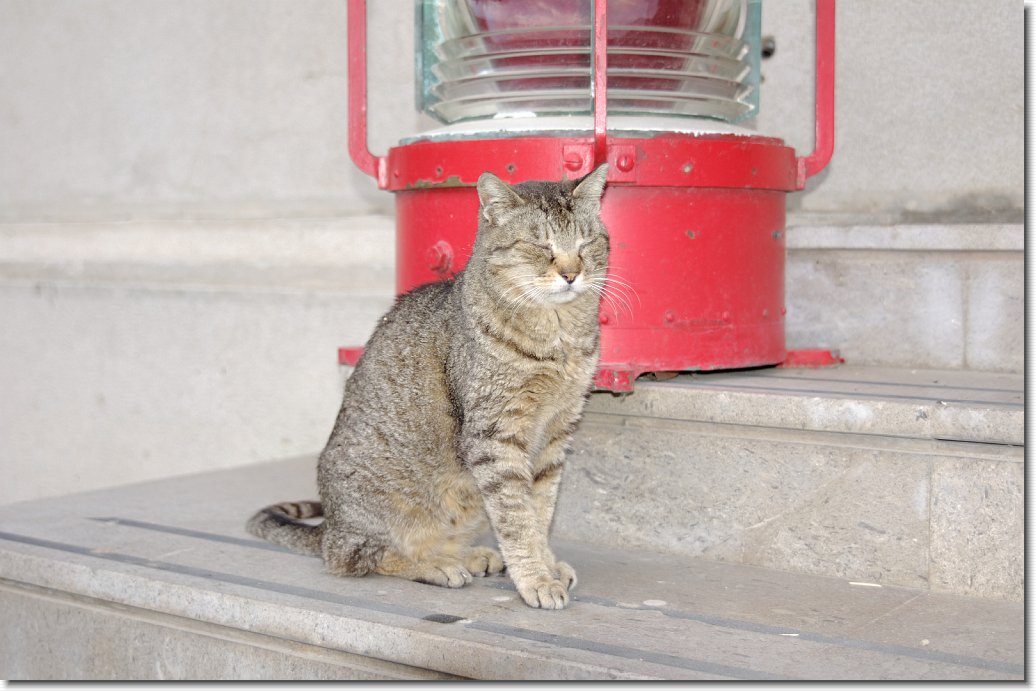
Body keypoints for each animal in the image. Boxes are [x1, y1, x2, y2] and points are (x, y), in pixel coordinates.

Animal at [247, 164, 609, 609]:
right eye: (540, 245)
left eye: (586, 242)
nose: (572, 274)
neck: (558, 338)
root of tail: (328, 526)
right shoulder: (495, 437)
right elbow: (516, 517)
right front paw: (536, 579)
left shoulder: (556, 436)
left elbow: (538, 512)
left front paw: (547, 565)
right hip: (377, 512)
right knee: (357, 556)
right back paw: (436, 565)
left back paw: (467, 555)